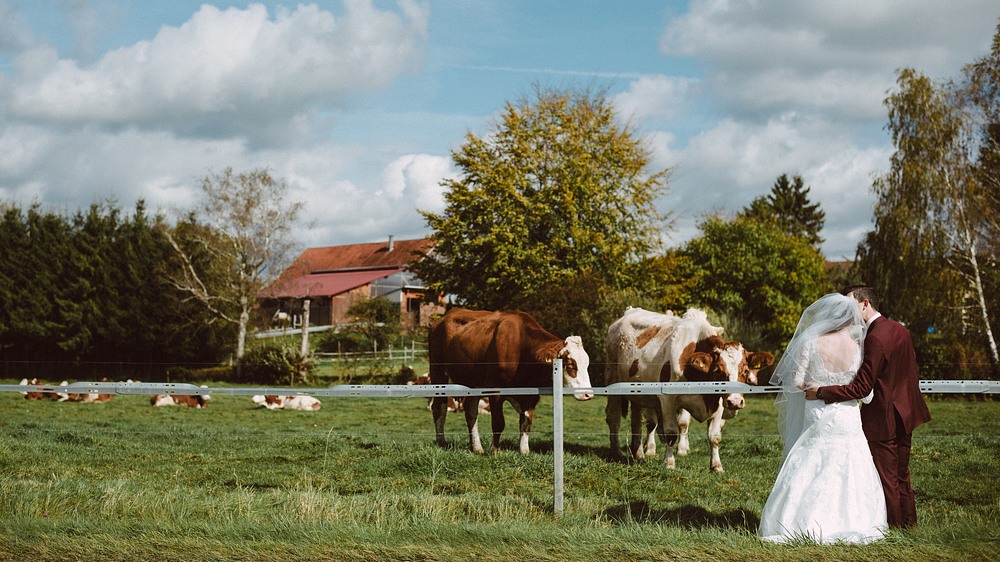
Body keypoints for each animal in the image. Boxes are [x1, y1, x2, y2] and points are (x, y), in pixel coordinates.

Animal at [426, 306, 588, 456]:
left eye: (587, 363)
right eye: (570, 364)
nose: (588, 394)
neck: (522, 350)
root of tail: (444, 317)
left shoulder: (532, 395)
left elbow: (526, 423)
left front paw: (524, 451)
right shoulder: (495, 390)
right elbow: (498, 423)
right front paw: (494, 451)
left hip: (473, 383)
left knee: (471, 412)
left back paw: (477, 447)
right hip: (438, 372)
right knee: (439, 407)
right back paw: (441, 441)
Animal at [600, 304, 772, 470]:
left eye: (745, 370)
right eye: (718, 370)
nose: (735, 402)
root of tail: (628, 311)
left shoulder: (719, 403)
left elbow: (714, 436)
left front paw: (717, 466)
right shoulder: (668, 399)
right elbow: (671, 433)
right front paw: (670, 463)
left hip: (638, 394)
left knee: (636, 420)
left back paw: (639, 454)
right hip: (612, 378)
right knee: (614, 417)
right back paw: (616, 452)